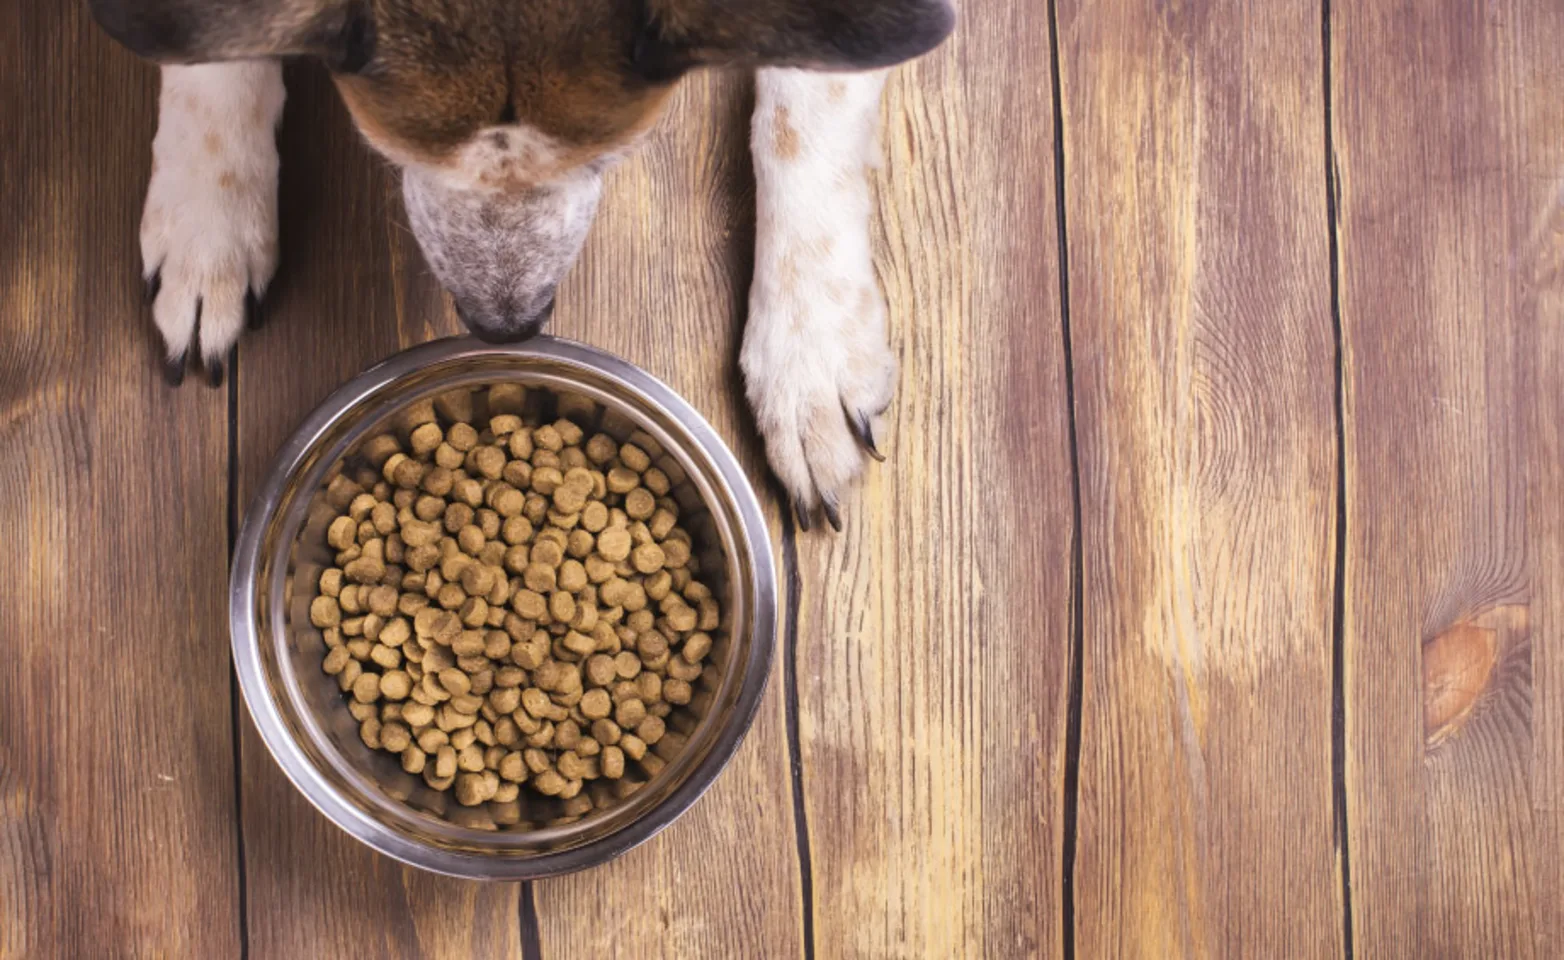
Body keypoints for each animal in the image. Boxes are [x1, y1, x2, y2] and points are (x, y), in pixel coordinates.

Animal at [97, 0, 957, 531]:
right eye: (390, 153)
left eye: (611, 158)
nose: (507, 325)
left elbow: (805, 106)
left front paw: (809, 355)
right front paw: (207, 217)